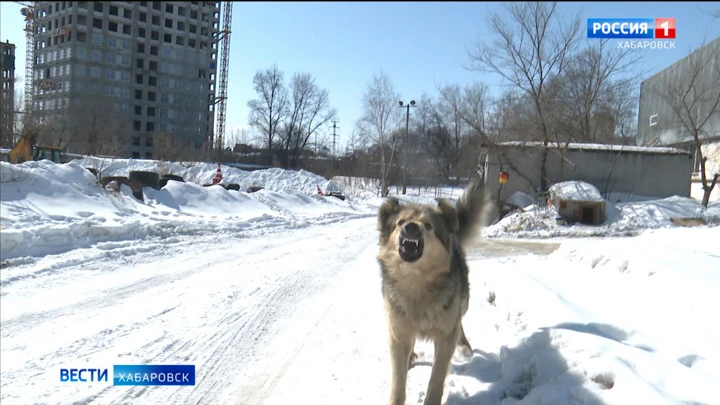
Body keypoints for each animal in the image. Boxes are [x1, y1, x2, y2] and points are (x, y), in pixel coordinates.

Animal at [376, 179, 496, 404]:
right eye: (400, 222)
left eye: (428, 225)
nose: (411, 226)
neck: (416, 281)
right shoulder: (397, 332)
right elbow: (398, 381)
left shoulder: (445, 335)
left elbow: (437, 377)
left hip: (462, 303)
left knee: (460, 322)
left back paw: (464, 346)